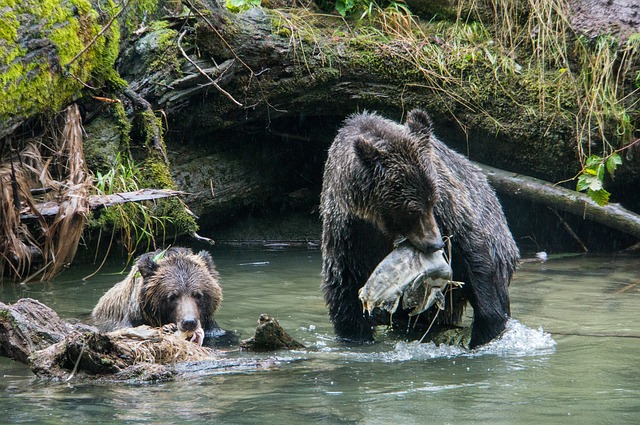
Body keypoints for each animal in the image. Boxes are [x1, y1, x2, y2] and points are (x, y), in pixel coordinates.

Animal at [320, 107, 520, 346]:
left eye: (433, 200)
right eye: (411, 210)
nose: (435, 243)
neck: (378, 223)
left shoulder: (449, 209)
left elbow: (474, 254)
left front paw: (486, 328)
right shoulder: (347, 229)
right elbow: (343, 282)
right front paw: (355, 334)